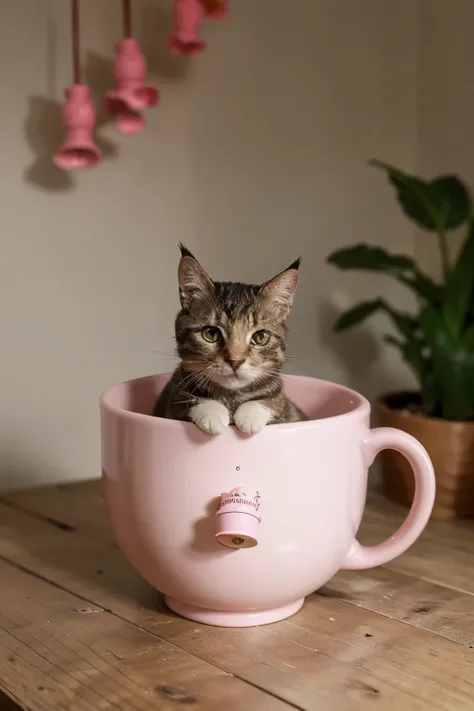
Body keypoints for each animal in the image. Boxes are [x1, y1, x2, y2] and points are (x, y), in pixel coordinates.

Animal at [153, 245, 308, 434]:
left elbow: (274, 401)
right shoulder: (172, 397)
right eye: (211, 333)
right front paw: (212, 411)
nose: (235, 361)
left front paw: (251, 414)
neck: (231, 397)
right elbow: (184, 400)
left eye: (260, 337)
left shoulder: (285, 406)